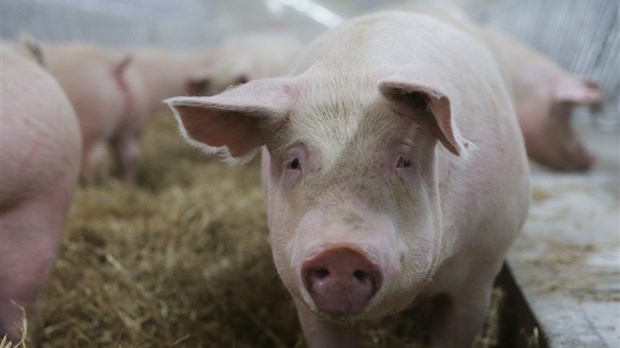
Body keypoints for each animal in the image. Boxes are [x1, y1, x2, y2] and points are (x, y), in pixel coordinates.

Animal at [42, 42, 148, 185]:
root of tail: (115, 66)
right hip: (132, 124)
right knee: (130, 155)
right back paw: (129, 184)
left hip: (93, 128)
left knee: (95, 159)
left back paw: (91, 186)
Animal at [167, 9, 532, 346]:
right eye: (293, 162)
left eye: (404, 160)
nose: (341, 251)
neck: (351, 75)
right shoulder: (301, 294)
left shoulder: (480, 274)